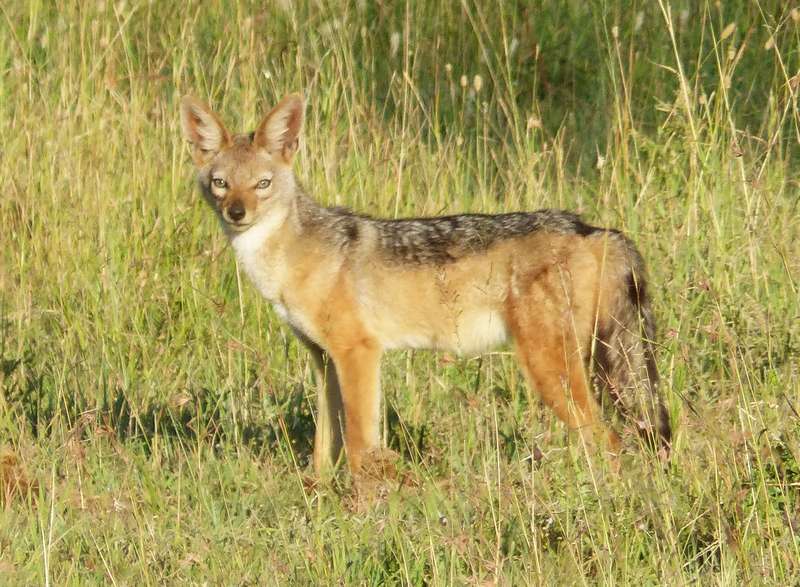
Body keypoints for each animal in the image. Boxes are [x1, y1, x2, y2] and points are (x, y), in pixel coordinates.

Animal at [180, 93, 671, 476]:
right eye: (221, 183)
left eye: (262, 184)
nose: (237, 213)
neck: (288, 262)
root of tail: (594, 229)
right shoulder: (324, 361)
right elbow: (324, 449)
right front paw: (319, 497)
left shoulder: (359, 354)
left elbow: (359, 445)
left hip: (555, 374)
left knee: (609, 443)